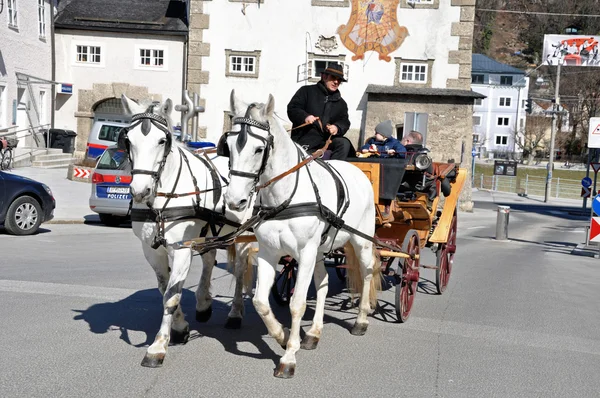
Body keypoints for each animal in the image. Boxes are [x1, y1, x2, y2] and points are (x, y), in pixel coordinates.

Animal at [120, 95, 254, 366]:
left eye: (162, 141)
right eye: (128, 140)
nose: (139, 191)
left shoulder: (181, 249)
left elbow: (171, 296)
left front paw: (158, 346)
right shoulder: (152, 250)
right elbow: (166, 289)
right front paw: (180, 327)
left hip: (243, 235)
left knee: (238, 270)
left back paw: (235, 313)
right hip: (209, 231)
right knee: (209, 260)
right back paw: (203, 304)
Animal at [220, 91, 380, 380]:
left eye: (259, 149)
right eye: (228, 146)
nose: (235, 201)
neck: (284, 197)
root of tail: (358, 171)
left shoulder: (304, 254)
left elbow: (297, 304)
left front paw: (288, 357)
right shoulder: (269, 253)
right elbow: (261, 301)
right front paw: (282, 336)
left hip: (360, 241)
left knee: (367, 272)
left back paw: (361, 320)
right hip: (319, 251)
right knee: (324, 281)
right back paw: (314, 333)